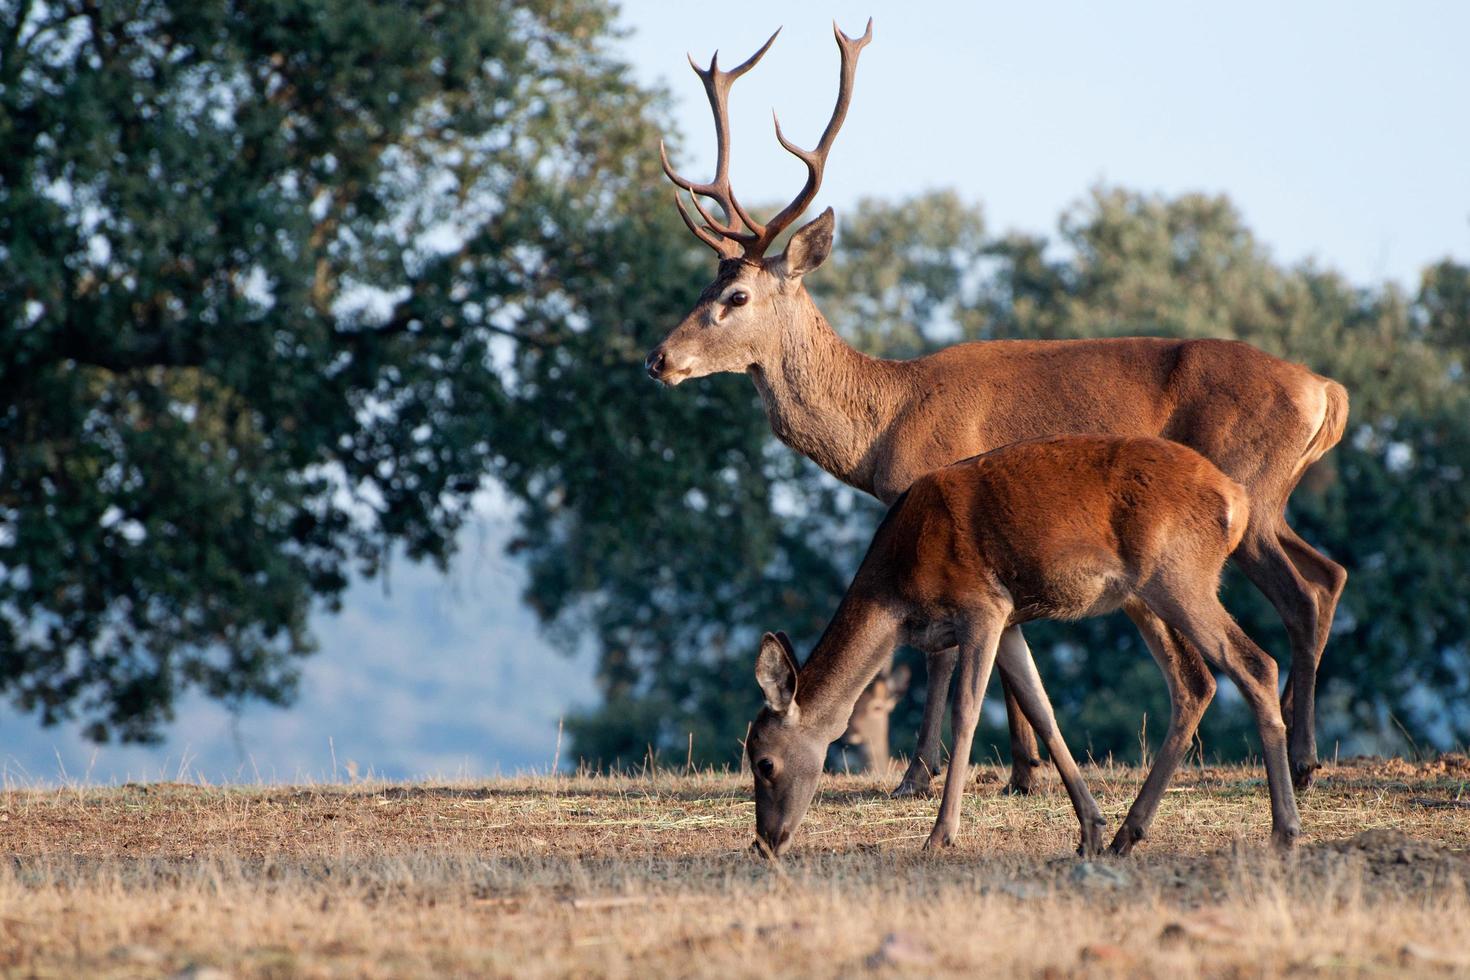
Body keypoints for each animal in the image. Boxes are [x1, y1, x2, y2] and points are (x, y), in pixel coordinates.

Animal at [643, 21, 1346, 805]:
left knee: (1302, 593)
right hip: (1270, 501)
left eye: (735, 297)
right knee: (1327, 576)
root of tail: (1326, 391)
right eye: (705, 285)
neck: (885, 427)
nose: (659, 358)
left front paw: (923, 774)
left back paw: (1305, 759)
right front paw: (1023, 768)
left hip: (1247, 486)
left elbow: (945, 659)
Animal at [746, 437, 1299, 858]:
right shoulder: (1011, 620)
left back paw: (1284, 831)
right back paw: (1126, 833)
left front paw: (940, 836)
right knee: (1195, 683)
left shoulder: (982, 606)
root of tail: (1237, 501)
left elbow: (967, 712)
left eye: (764, 763)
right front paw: (1089, 829)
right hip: (1144, 595)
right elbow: (1041, 709)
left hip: (1179, 575)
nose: (764, 842)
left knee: (1256, 664)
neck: (897, 596)